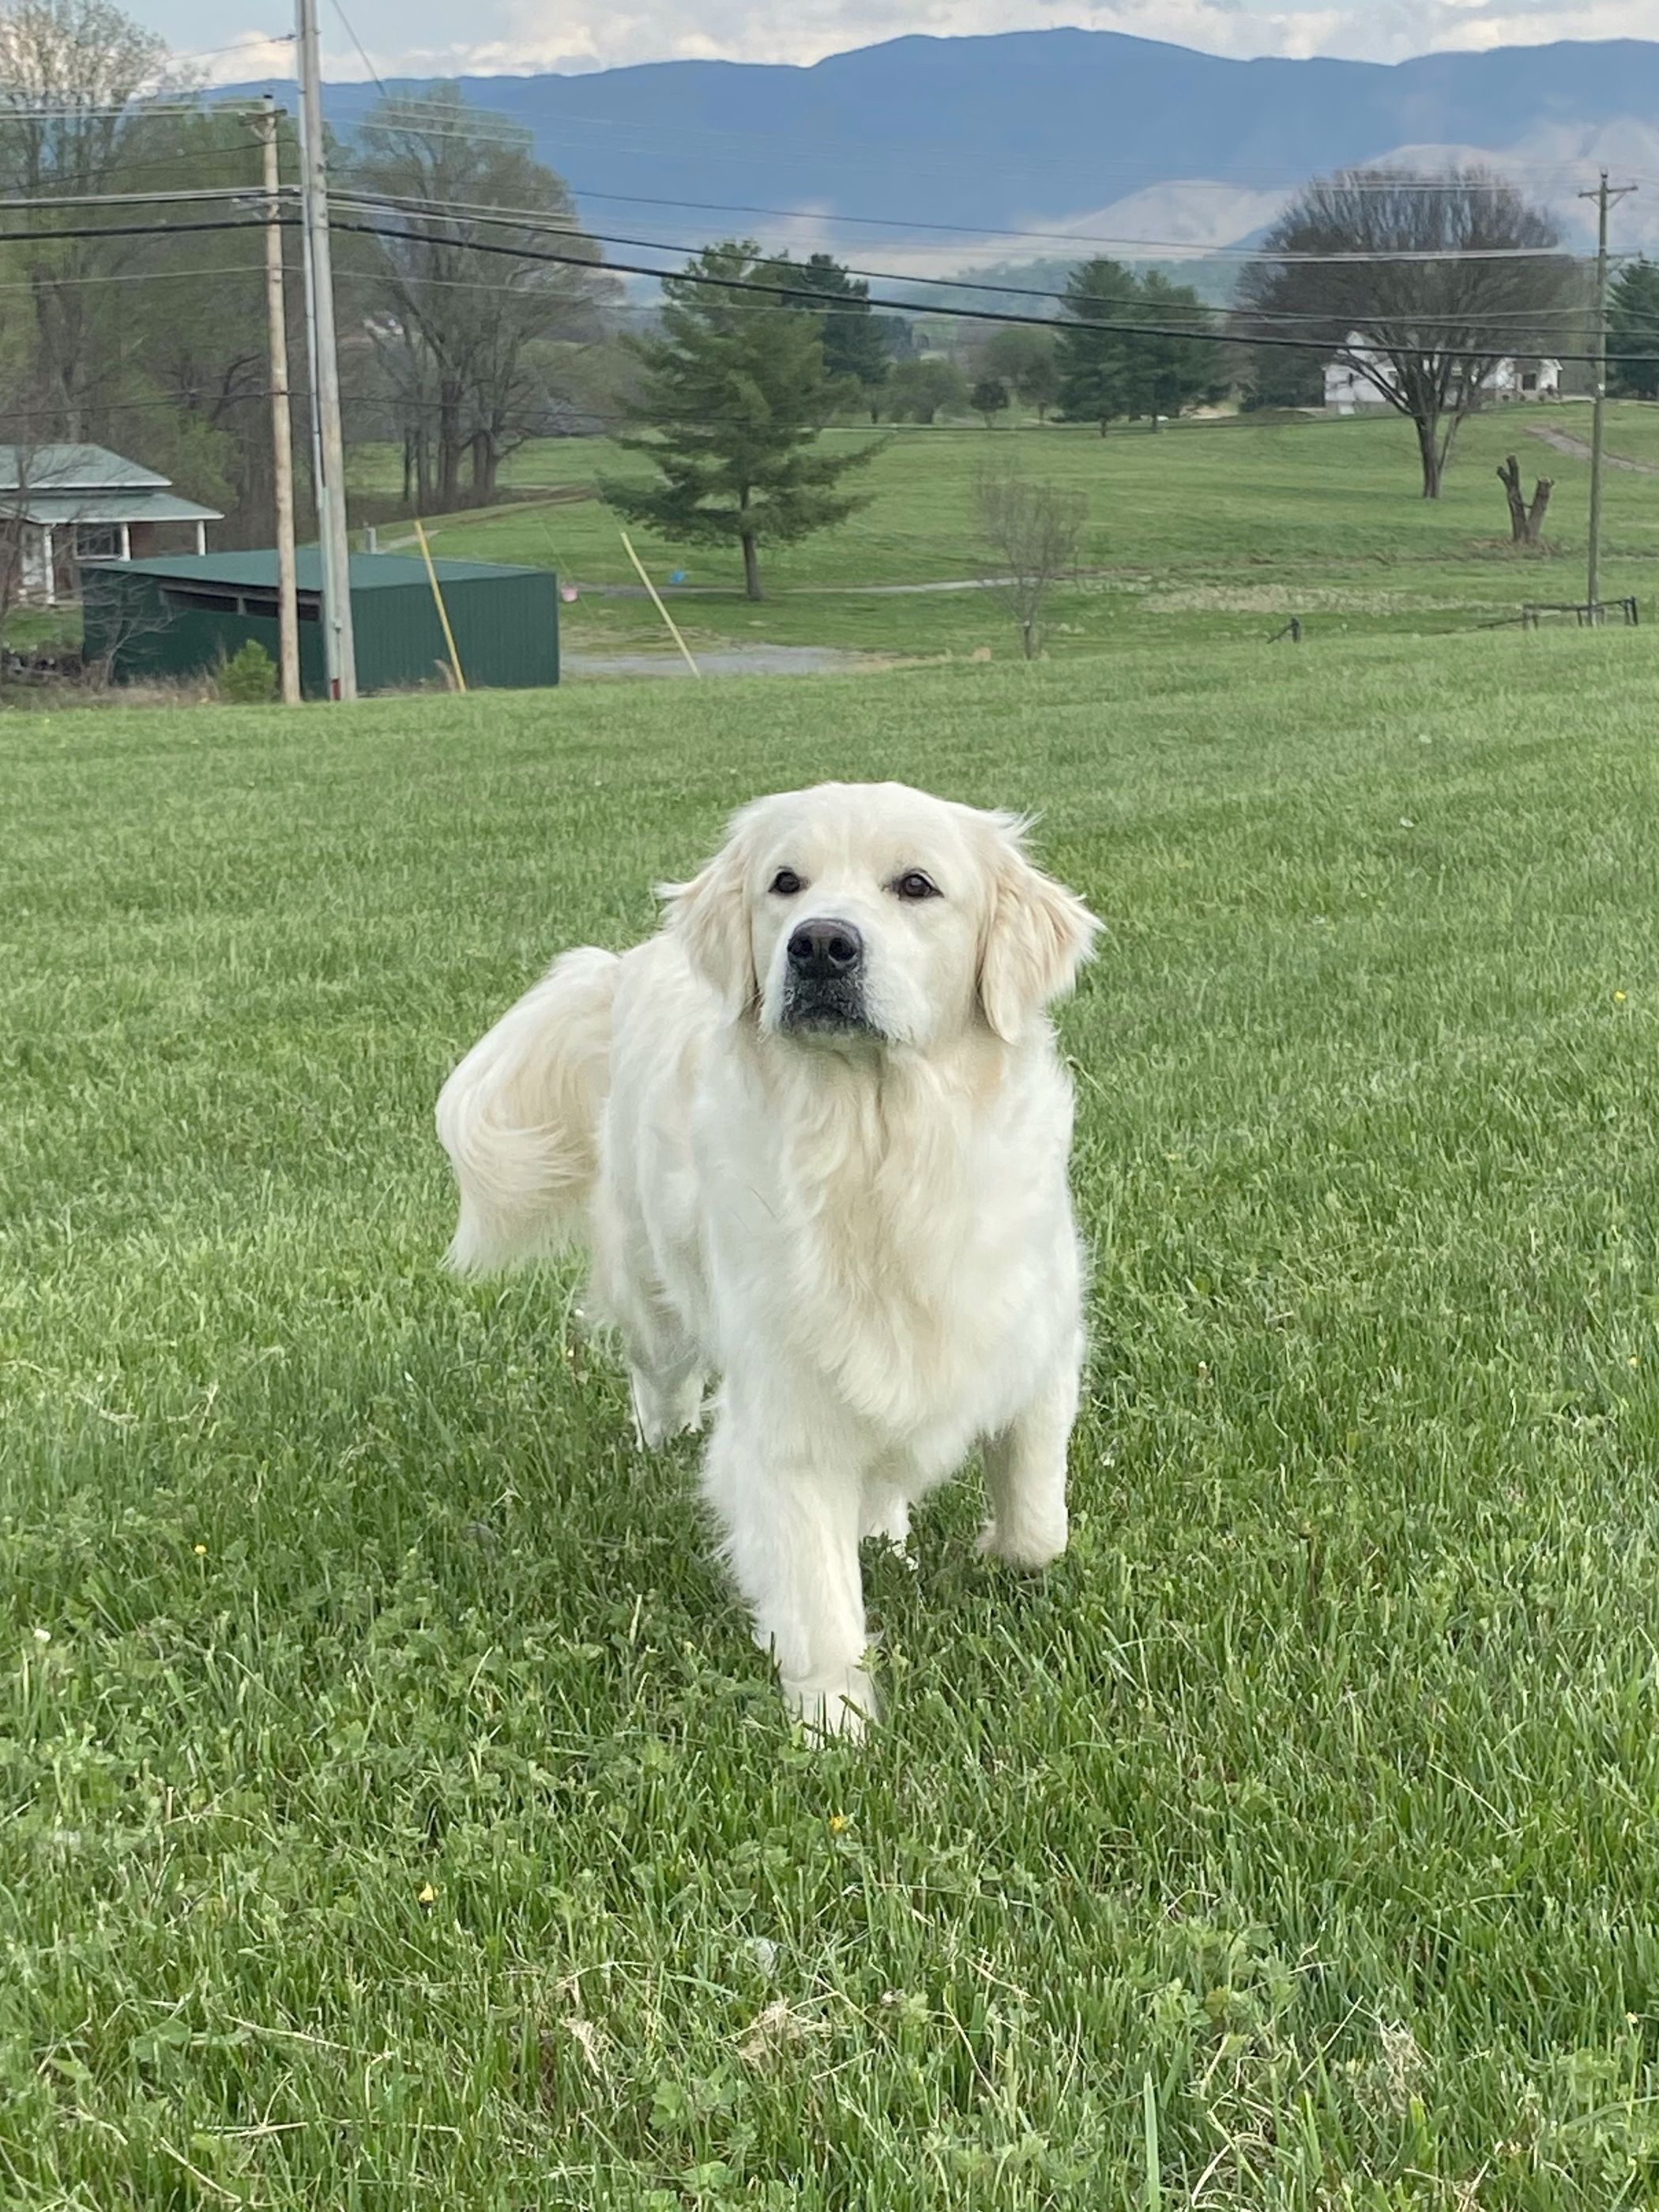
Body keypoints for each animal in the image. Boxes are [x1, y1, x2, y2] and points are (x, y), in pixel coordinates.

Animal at [436, 780, 1098, 1736]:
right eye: (786, 882)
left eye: (916, 885)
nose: (821, 944)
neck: (880, 1154)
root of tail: (627, 965)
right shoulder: (787, 1411)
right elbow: (817, 1592)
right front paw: (833, 1721)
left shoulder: (1037, 1345)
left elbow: (1040, 1522)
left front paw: (1003, 1552)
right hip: (657, 1295)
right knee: (658, 1377)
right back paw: (662, 1439)